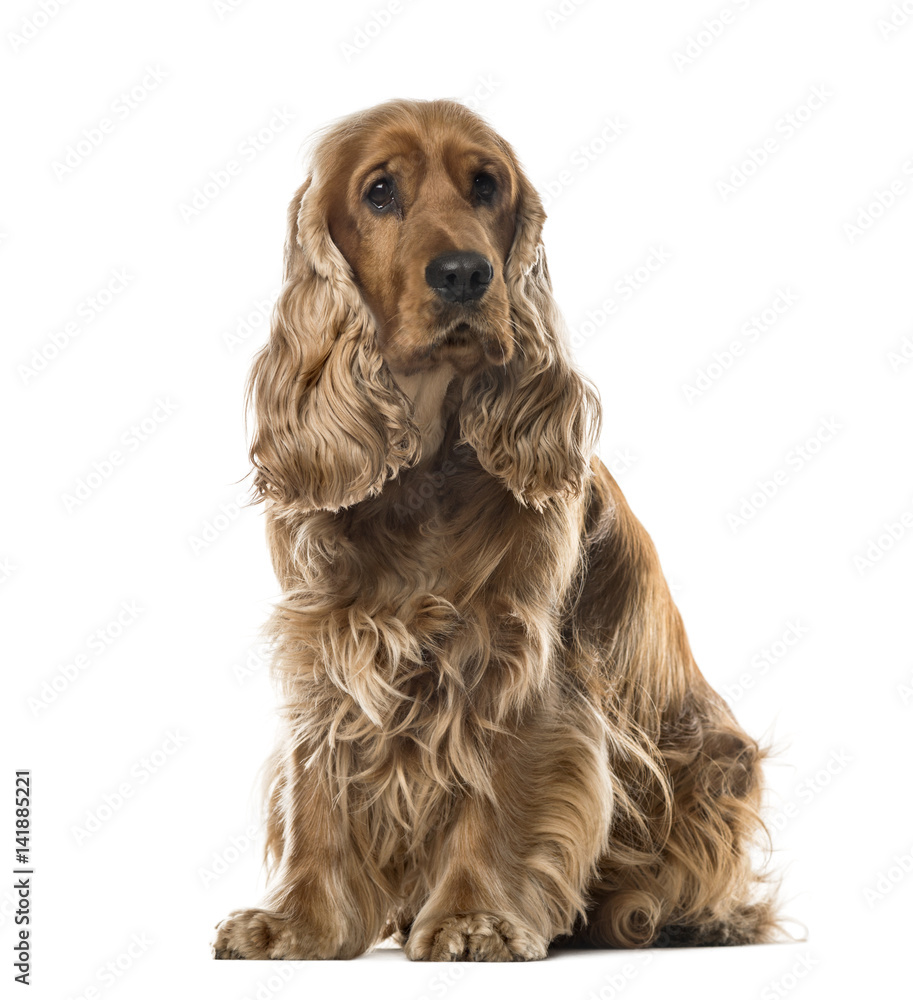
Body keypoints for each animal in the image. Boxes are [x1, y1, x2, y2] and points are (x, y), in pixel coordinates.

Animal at [212, 99, 776, 960]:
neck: (421, 467)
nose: (464, 274)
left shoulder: (511, 650)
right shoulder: (329, 643)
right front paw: (296, 921)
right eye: (380, 191)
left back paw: (663, 915)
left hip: (716, 760)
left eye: (486, 186)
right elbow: (317, 789)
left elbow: (498, 789)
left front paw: (474, 917)